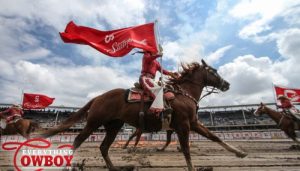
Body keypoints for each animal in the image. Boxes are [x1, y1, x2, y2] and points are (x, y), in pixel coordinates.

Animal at [38, 59, 247, 170]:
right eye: (213, 71)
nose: (227, 84)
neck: (183, 93)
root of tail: (98, 97)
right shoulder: (184, 126)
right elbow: (186, 149)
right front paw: (192, 167)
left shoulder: (194, 123)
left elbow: (214, 137)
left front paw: (240, 152)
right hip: (93, 123)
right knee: (77, 141)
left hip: (114, 126)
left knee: (104, 147)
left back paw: (114, 167)